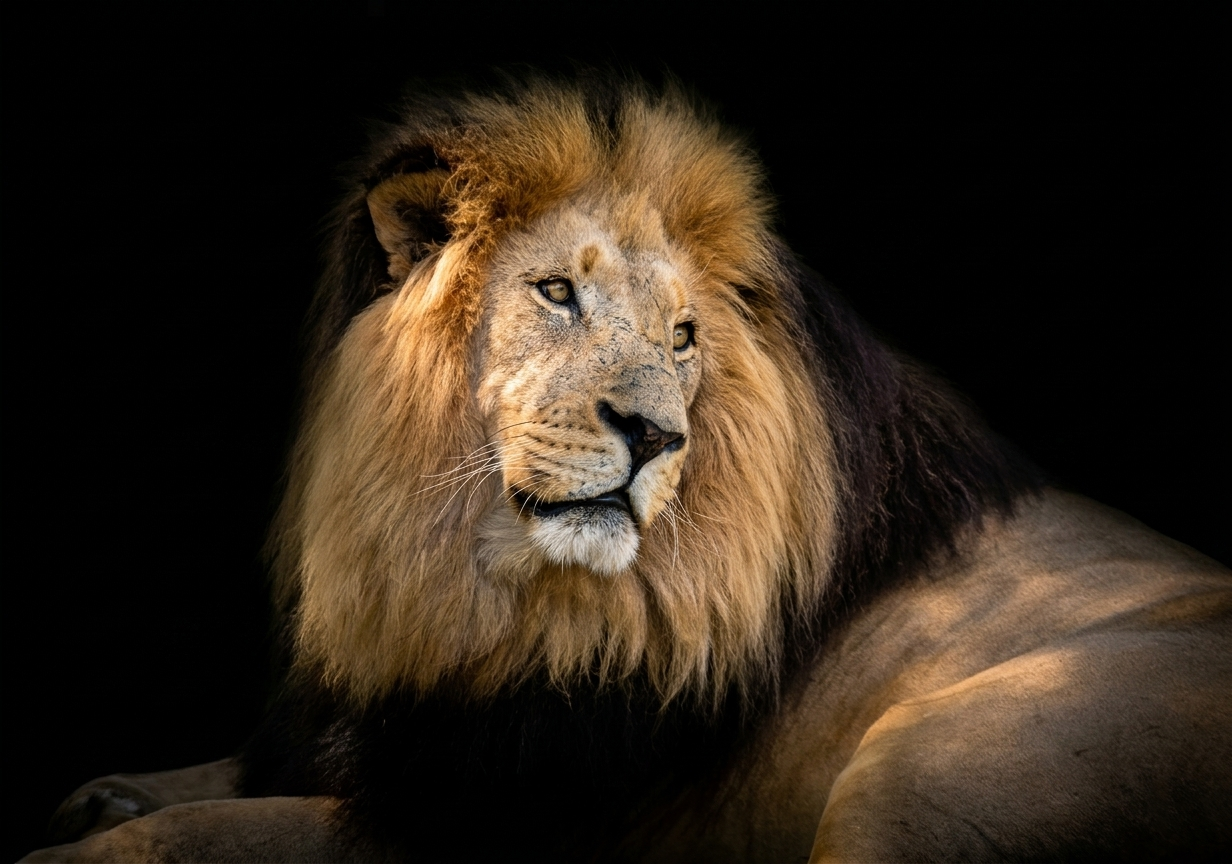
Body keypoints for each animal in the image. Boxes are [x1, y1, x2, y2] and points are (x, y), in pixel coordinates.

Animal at [23, 75, 1232, 863]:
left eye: (683, 337)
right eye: (558, 292)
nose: (654, 435)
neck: (466, 586)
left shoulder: (485, 824)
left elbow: (185, 837)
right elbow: (197, 787)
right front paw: (102, 793)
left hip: (920, 772)